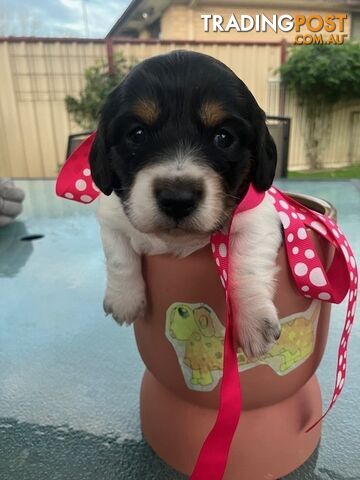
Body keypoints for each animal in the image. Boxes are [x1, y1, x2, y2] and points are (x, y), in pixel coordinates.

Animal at [89, 50, 282, 358]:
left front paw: (253, 321)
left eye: (223, 137)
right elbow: (119, 256)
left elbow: (246, 265)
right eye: (137, 134)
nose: (177, 199)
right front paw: (124, 299)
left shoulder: (258, 218)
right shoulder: (111, 216)